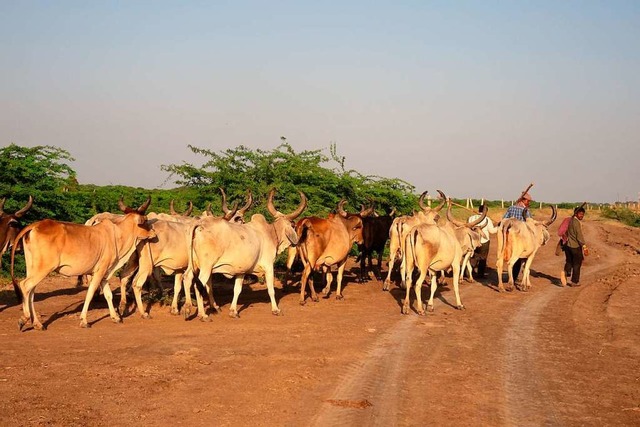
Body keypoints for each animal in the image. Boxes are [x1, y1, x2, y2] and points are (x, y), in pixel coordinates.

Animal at [10, 197, 156, 332]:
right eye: (145, 220)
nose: (154, 233)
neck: (117, 235)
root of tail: (36, 225)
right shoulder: (99, 272)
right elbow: (90, 293)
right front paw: (84, 320)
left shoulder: (104, 274)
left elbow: (108, 295)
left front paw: (115, 317)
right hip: (44, 268)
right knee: (25, 285)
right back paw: (24, 319)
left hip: (33, 267)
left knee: (31, 291)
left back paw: (37, 324)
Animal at [186, 188, 306, 320]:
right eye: (293, 225)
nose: (297, 242)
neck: (270, 233)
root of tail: (201, 225)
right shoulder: (269, 266)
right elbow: (271, 289)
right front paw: (276, 310)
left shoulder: (241, 271)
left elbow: (237, 289)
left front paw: (233, 311)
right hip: (206, 267)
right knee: (198, 285)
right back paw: (203, 315)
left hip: (193, 265)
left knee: (187, 278)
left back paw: (188, 309)